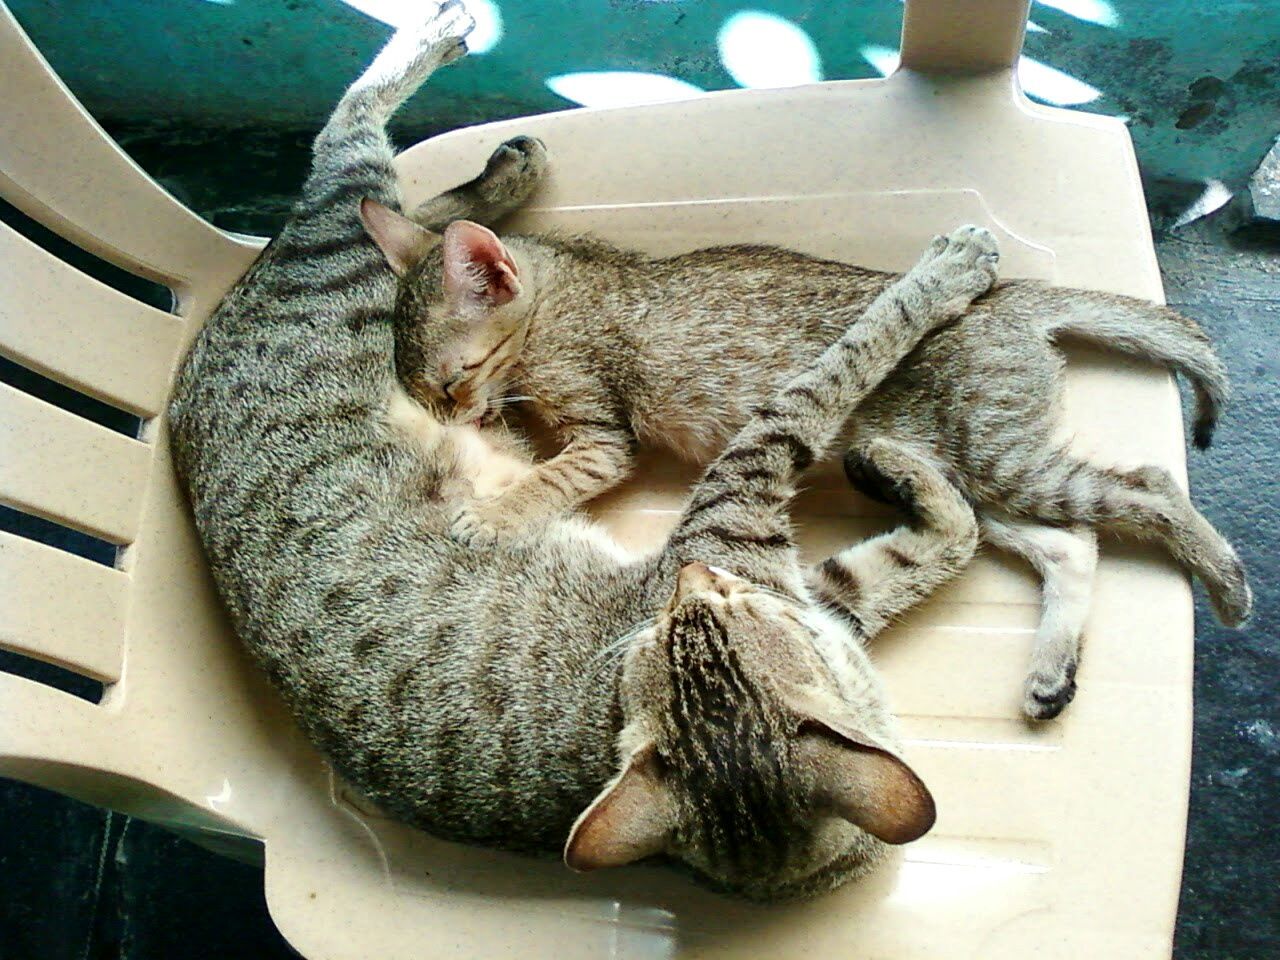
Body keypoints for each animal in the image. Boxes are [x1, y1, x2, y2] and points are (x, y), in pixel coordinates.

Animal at [167, 1, 1008, 901]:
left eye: (453, 378)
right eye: (677, 627)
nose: (688, 583)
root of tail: (208, 333)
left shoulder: (777, 559)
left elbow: (897, 457)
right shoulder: (751, 528)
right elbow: (853, 395)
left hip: (352, 258)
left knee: (370, 180)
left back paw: (494, 148)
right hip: (342, 268)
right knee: (349, 152)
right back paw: (461, 82)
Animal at [366, 144, 1254, 721]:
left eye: (451, 381)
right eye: (422, 390)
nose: (452, 417)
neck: (559, 287)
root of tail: (1016, 299)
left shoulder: (601, 434)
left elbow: (550, 475)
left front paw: (491, 514)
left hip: (1004, 456)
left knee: (1149, 487)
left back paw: (1227, 581)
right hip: (969, 471)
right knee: (1070, 543)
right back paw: (1051, 670)